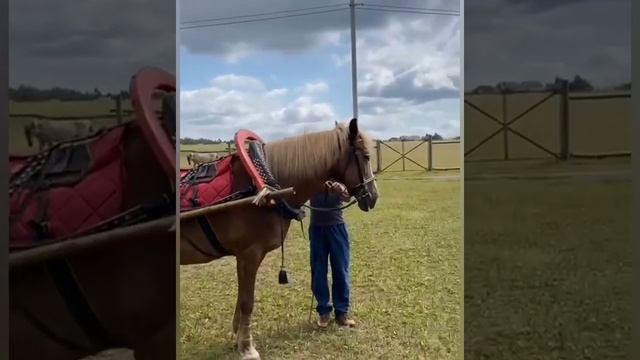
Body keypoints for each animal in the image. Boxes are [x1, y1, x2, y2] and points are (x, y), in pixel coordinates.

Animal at [179, 119, 380, 360]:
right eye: (366, 156)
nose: (374, 196)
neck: (261, 185)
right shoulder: (248, 254)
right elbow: (246, 302)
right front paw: (247, 347)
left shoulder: (246, 257)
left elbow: (240, 300)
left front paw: (238, 339)